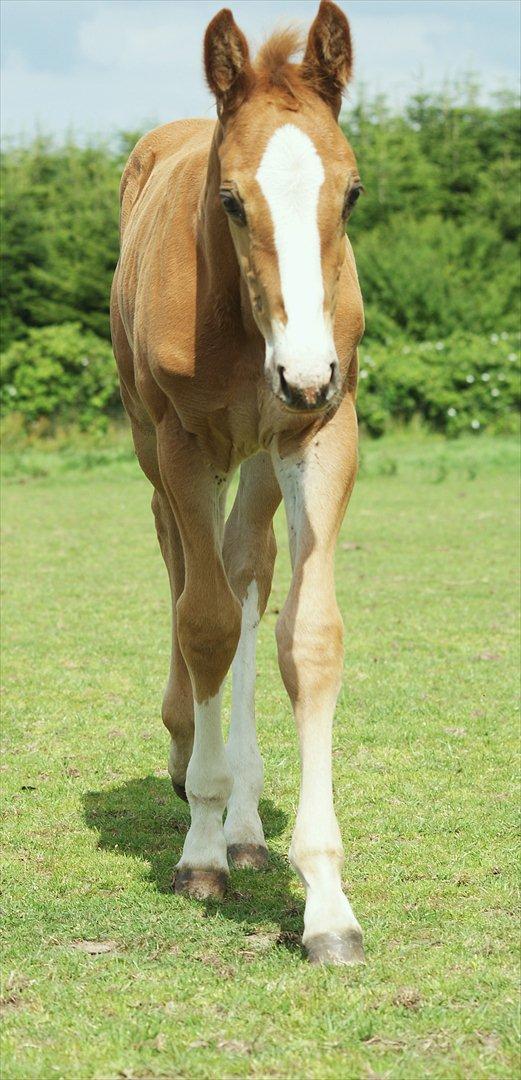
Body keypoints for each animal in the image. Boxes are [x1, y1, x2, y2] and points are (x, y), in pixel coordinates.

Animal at [110, 0, 365, 963]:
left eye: (350, 192)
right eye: (228, 199)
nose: (304, 372)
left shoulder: (319, 436)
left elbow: (306, 635)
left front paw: (326, 903)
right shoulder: (184, 445)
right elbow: (205, 622)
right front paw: (200, 850)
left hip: (255, 457)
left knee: (246, 571)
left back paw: (250, 823)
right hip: (159, 448)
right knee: (187, 572)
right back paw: (192, 764)